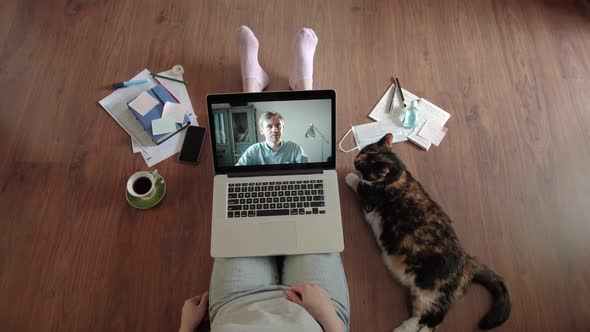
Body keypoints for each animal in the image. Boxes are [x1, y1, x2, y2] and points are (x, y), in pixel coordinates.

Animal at [350, 133, 512, 332]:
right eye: (362, 151)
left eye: (364, 165)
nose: (355, 160)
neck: (398, 176)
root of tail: (469, 263)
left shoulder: (369, 199)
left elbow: (358, 183)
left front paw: (349, 176)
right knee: (434, 319)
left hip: (429, 290)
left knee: (430, 316)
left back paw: (404, 328)